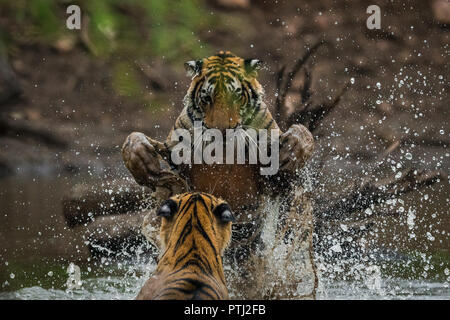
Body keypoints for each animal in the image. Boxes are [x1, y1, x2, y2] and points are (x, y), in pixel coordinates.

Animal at [125, 51, 318, 298]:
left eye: (236, 96)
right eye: (207, 98)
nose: (222, 130)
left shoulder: (272, 175)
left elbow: (302, 133)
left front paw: (293, 149)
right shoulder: (174, 154)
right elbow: (133, 138)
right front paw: (143, 160)